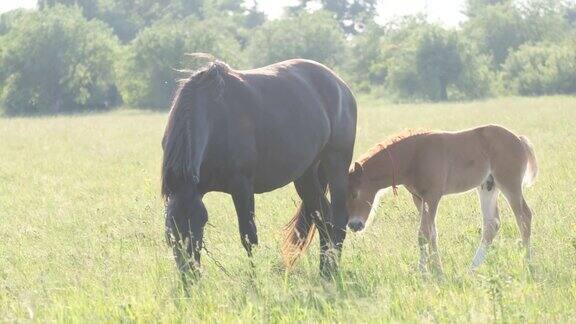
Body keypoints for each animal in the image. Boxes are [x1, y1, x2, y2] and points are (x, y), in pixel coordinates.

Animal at [159, 57, 356, 280]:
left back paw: (333, 271)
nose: (189, 278)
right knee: (324, 220)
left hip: (336, 163)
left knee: (339, 219)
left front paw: (254, 282)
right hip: (306, 176)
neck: (215, 116)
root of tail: (340, 85)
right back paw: (325, 272)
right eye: (170, 232)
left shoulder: (242, 186)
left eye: (201, 222)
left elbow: (248, 237)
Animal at [346, 124, 540, 274]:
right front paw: (437, 271)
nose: (354, 225)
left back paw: (528, 263)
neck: (414, 156)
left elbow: (424, 234)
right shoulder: (419, 198)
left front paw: (423, 273)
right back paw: (472, 269)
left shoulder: (432, 196)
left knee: (524, 217)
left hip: (510, 185)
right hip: (488, 187)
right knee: (492, 224)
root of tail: (519, 139)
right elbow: (432, 233)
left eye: (355, 193)